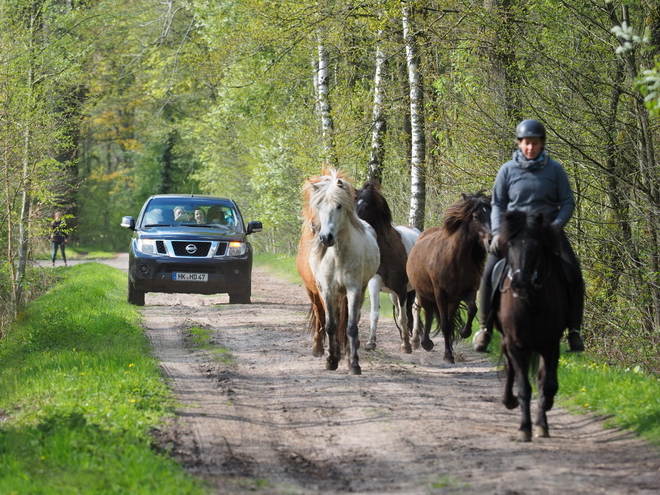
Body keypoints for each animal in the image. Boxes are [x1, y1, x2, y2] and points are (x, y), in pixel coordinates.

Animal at [306, 170, 378, 376]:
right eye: (319, 206)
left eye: (338, 206)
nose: (326, 238)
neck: (338, 256)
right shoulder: (328, 290)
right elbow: (331, 325)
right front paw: (331, 360)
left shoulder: (353, 289)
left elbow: (351, 327)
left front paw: (354, 364)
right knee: (337, 320)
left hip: (360, 290)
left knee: (353, 319)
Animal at [404, 193, 492, 364]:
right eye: (476, 216)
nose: (491, 240)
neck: (456, 260)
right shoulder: (440, 294)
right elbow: (444, 324)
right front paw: (447, 355)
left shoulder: (469, 290)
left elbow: (472, 309)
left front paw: (464, 332)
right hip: (425, 295)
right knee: (428, 313)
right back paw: (425, 343)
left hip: (453, 300)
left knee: (446, 318)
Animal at [496, 211, 568, 444]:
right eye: (510, 244)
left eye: (537, 246)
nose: (520, 284)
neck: (532, 303)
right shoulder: (516, 345)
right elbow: (524, 387)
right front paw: (524, 428)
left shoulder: (551, 344)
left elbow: (547, 384)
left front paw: (542, 423)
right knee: (510, 367)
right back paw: (509, 400)